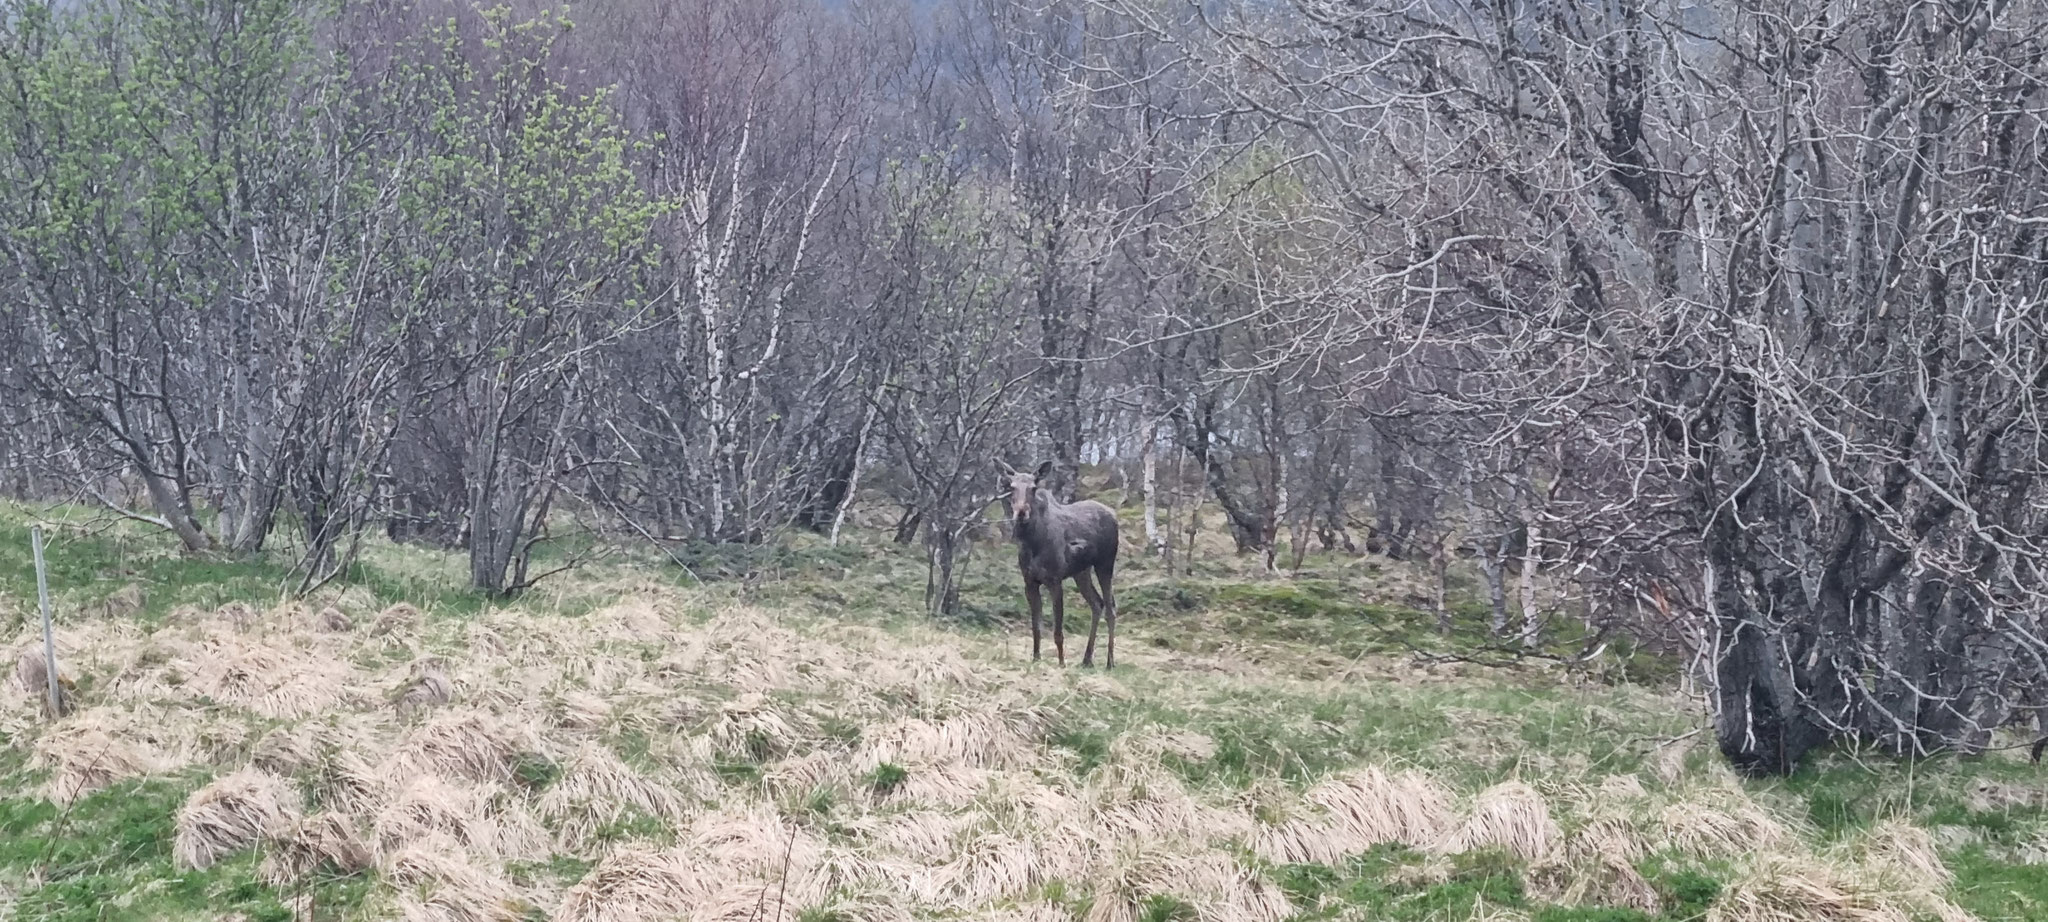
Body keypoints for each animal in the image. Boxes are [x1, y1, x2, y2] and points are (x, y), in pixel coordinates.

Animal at [1003, 465, 1122, 667]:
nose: (1021, 512)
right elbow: (1036, 627)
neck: (1032, 542)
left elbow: (1058, 631)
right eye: (1011, 487)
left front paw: (1061, 663)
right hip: (1081, 572)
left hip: (1105, 564)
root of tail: (1114, 515)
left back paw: (1110, 661)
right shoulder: (1030, 583)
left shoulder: (1055, 581)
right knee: (1097, 603)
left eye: (1033, 488)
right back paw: (1087, 658)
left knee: (1110, 607)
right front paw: (1036, 658)